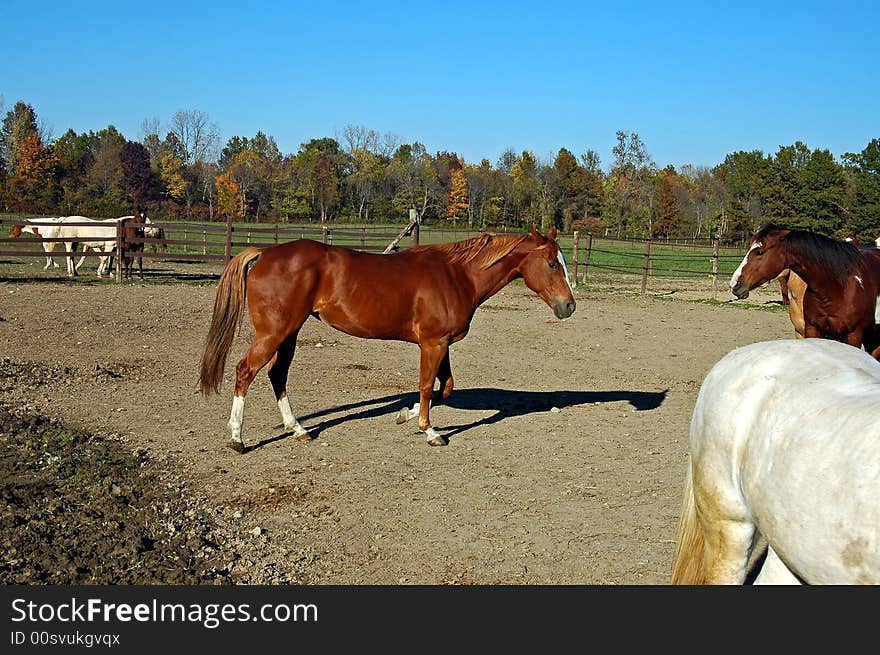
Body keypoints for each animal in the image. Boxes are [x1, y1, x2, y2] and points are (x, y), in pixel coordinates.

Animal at [198, 226, 576, 452]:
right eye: (551, 264)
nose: (568, 306)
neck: (457, 274)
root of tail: (265, 252)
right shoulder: (433, 343)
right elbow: (426, 386)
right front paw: (429, 431)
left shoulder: (442, 344)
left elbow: (445, 386)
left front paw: (405, 415)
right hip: (274, 332)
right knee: (245, 371)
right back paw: (237, 437)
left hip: (289, 333)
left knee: (277, 375)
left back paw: (299, 429)